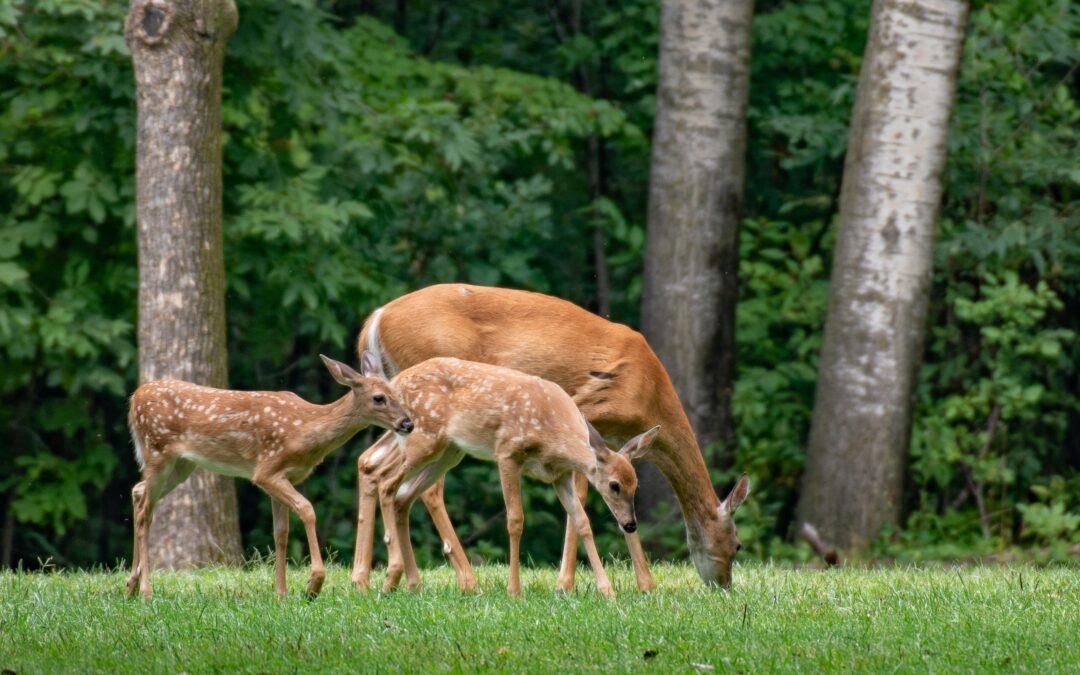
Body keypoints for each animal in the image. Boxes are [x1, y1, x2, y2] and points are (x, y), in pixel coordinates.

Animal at [124, 352, 412, 600]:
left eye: (397, 394)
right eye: (379, 398)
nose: (408, 423)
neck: (305, 429)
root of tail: (134, 398)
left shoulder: (284, 477)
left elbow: (280, 533)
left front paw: (281, 594)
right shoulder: (266, 470)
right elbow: (307, 509)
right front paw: (314, 584)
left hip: (182, 465)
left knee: (138, 492)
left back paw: (130, 586)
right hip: (157, 451)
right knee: (144, 509)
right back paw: (146, 591)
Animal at [367, 356, 659, 598]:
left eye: (635, 485)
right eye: (614, 485)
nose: (630, 524)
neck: (553, 434)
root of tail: (397, 381)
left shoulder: (560, 475)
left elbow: (582, 522)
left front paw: (607, 591)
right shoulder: (507, 452)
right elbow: (515, 520)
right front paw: (514, 591)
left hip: (448, 451)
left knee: (403, 495)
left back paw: (408, 585)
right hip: (423, 439)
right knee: (386, 479)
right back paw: (392, 576)